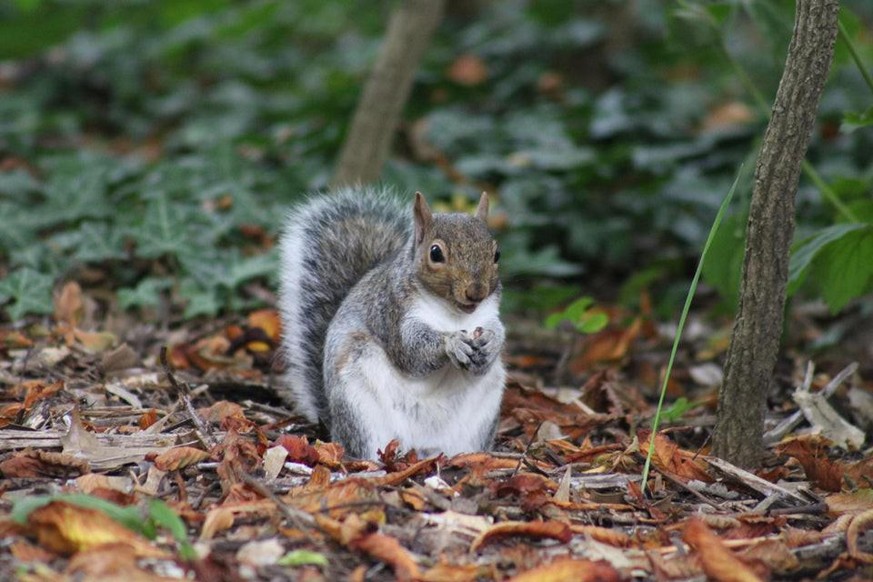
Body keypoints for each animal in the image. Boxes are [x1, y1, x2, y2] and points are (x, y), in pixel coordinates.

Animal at [276, 187, 508, 460]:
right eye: (436, 253)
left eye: (496, 254)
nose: (476, 291)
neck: (453, 312)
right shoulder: (392, 311)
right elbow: (411, 351)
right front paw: (452, 343)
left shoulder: (488, 314)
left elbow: (495, 334)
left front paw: (491, 342)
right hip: (360, 406)